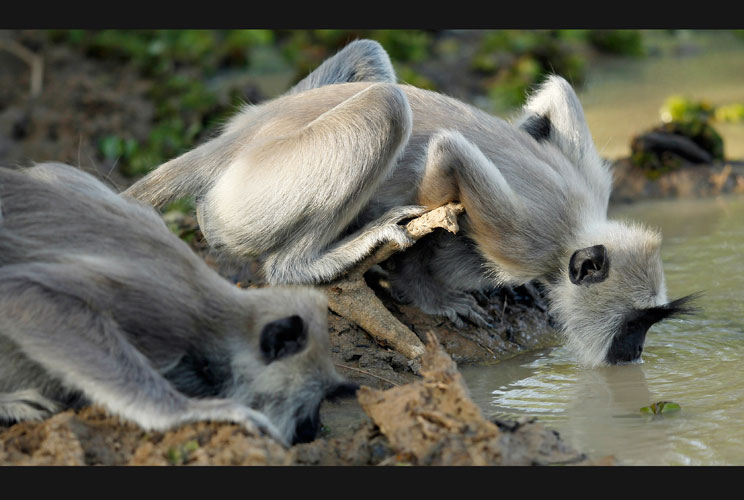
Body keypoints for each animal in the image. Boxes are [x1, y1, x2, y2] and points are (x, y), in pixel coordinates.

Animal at [123, 39, 696, 368]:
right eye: (633, 326)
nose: (634, 354)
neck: (579, 224)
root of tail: (232, 142)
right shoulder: (526, 241)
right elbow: (447, 168)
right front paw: (433, 294)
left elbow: (556, 91)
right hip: (254, 193)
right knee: (386, 108)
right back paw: (314, 262)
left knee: (370, 53)